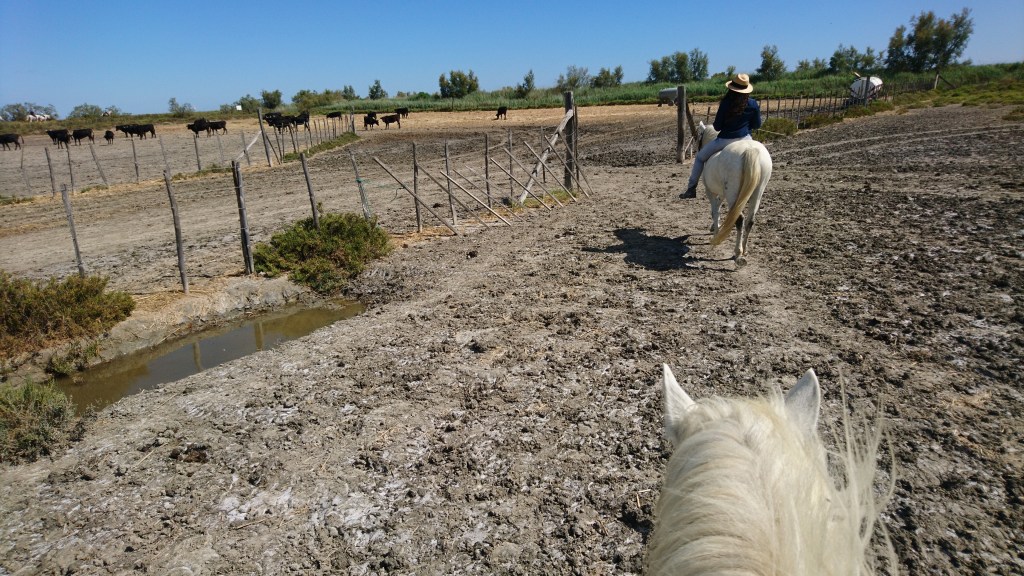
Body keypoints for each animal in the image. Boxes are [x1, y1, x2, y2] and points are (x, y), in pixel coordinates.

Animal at [696, 121, 773, 266]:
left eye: (698, 135)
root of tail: (750, 149)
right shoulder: (722, 193)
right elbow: (717, 208)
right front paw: (714, 227)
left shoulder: (711, 192)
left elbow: (715, 211)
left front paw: (715, 233)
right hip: (758, 191)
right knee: (750, 220)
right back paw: (745, 249)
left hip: (732, 194)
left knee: (739, 219)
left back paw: (738, 253)